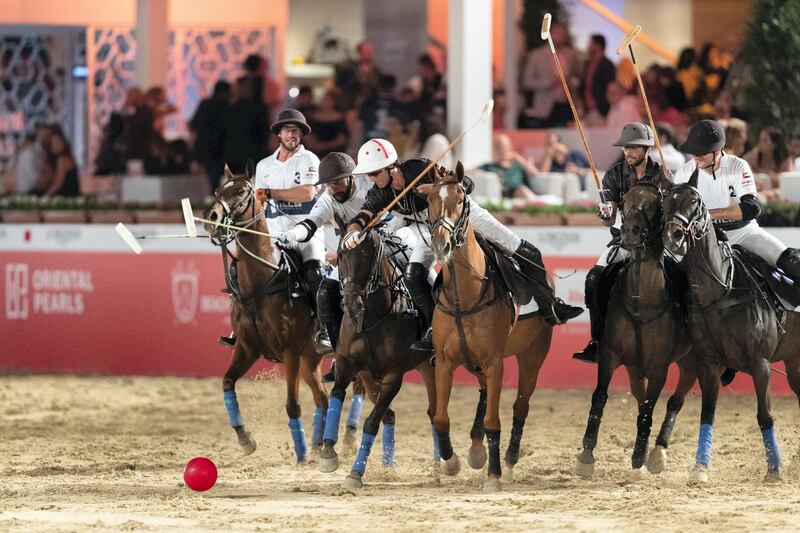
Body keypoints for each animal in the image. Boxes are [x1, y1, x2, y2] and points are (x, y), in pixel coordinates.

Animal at [208, 164, 330, 464]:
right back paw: (320, 445)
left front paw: (301, 454)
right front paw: (246, 439)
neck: (261, 282)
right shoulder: (246, 347)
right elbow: (227, 383)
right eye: (218, 190)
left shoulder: (289, 352)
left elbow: (292, 405)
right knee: (323, 398)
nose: (213, 217)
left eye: (242, 191)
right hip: (310, 360)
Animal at [318, 231, 438, 488]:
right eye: (340, 255)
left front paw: (355, 473)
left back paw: (442, 465)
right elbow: (336, 395)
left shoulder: (394, 376)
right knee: (393, 414)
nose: (351, 304)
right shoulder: (347, 364)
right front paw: (328, 454)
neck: (372, 318)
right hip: (373, 378)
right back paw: (389, 465)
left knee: (435, 413)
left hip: (432, 367)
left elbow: (371, 422)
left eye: (368, 256)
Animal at [428, 165, 552, 490]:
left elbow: (493, 422)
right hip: (477, 363)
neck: (465, 297)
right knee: (484, 394)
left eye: (461, 199)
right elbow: (441, 418)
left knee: (520, 406)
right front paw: (451, 463)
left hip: (533, 354)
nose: (441, 245)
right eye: (430, 200)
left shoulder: (496, 362)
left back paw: (507, 461)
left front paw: (493, 476)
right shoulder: (444, 361)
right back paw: (475, 449)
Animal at [576, 182, 692, 478]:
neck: (642, 301)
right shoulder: (610, 355)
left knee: (676, 399)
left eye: (657, 203)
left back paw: (658, 451)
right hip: (634, 368)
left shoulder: (660, 366)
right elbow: (600, 398)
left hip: (693, 361)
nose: (629, 232)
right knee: (641, 398)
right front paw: (586, 455)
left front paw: (640, 455)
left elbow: (651, 408)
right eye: (625, 198)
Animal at [664, 169, 800, 482]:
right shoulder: (708, 363)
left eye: (696, 202)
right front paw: (700, 468)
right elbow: (707, 413)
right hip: (795, 363)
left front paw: (774, 469)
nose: (674, 236)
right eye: (665, 202)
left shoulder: (761, 363)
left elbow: (765, 415)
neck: (721, 292)